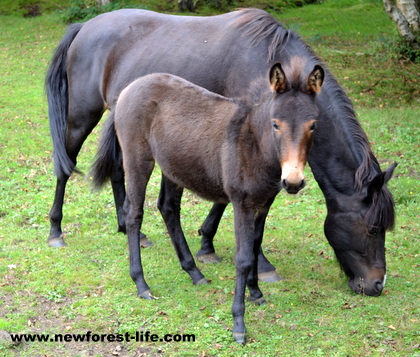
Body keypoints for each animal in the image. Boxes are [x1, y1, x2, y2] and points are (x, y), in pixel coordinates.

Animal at [47, 9, 396, 298]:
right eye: (373, 229)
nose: (377, 284)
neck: (265, 61)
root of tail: (84, 27)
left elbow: (228, 203)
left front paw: (208, 244)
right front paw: (259, 265)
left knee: (120, 171)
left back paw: (129, 228)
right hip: (82, 116)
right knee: (65, 166)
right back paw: (56, 231)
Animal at [91, 64, 322, 342]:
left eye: (313, 126)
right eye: (275, 124)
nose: (293, 182)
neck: (255, 146)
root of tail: (130, 88)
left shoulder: (264, 204)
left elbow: (255, 246)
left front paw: (256, 293)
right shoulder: (242, 205)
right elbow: (243, 258)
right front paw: (239, 324)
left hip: (173, 167)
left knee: (168, 208)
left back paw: (194, 272)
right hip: (138, 159)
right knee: (134, 213)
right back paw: (141, 283)